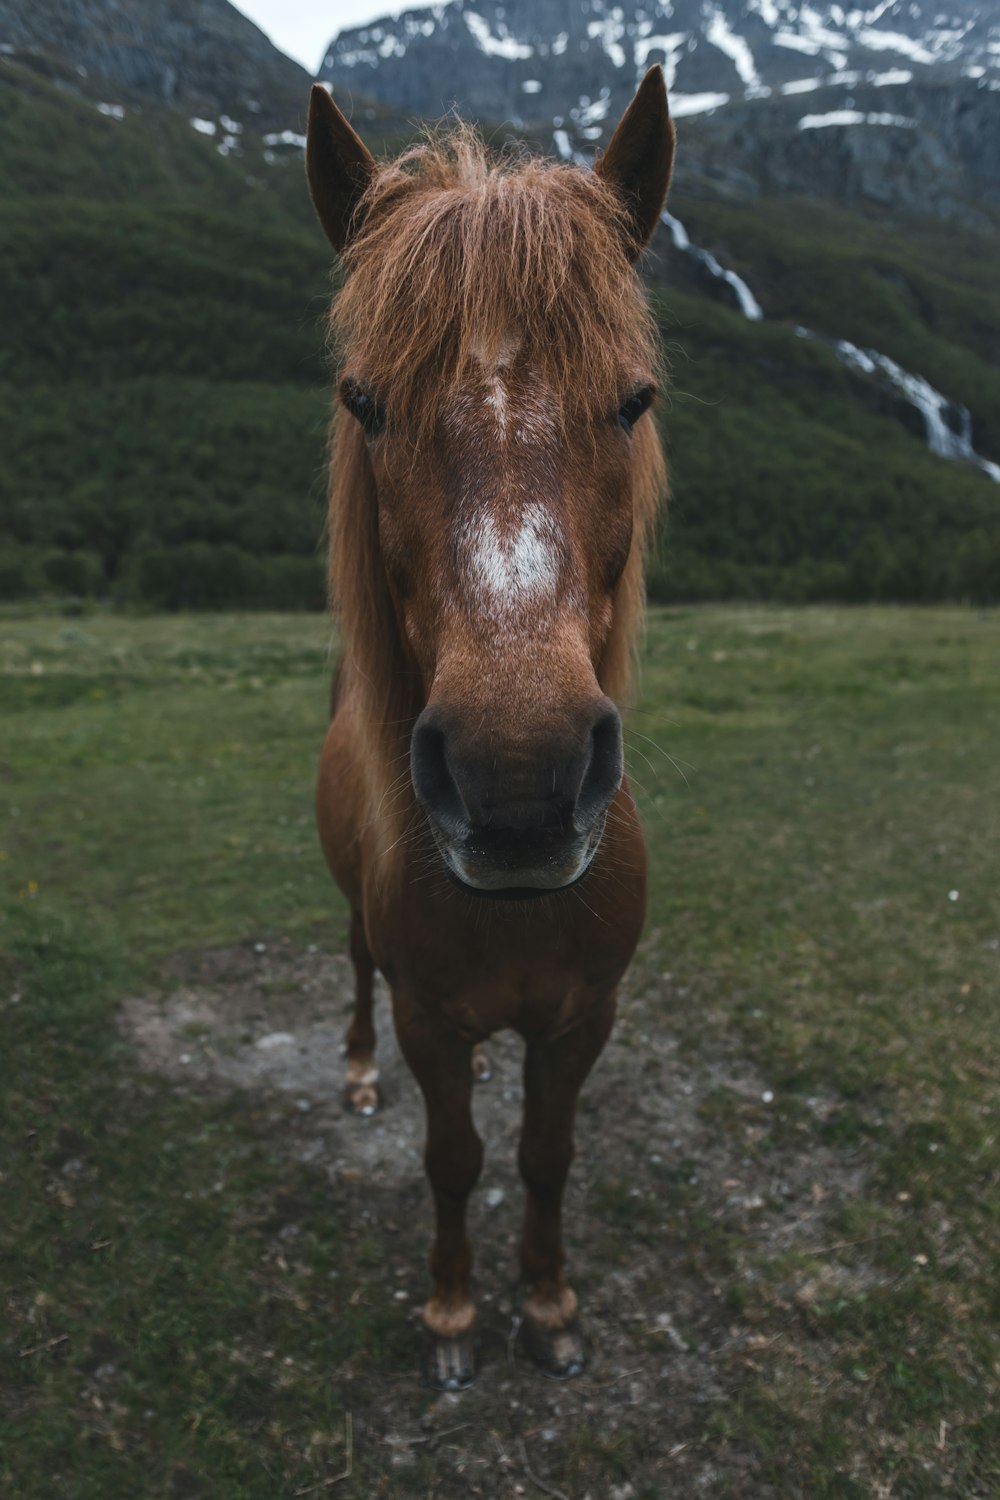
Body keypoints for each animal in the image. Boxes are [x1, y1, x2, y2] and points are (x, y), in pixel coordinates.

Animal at [308, 67, 677, 1380]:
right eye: (366, 404)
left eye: (633, 400)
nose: (518, 778)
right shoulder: (430, 1020)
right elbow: (455, 1159)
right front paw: (454, 1310)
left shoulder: (585, 1019)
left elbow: (546, 1156)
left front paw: (552, 1306)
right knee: (353, 972)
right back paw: (353, 1075)